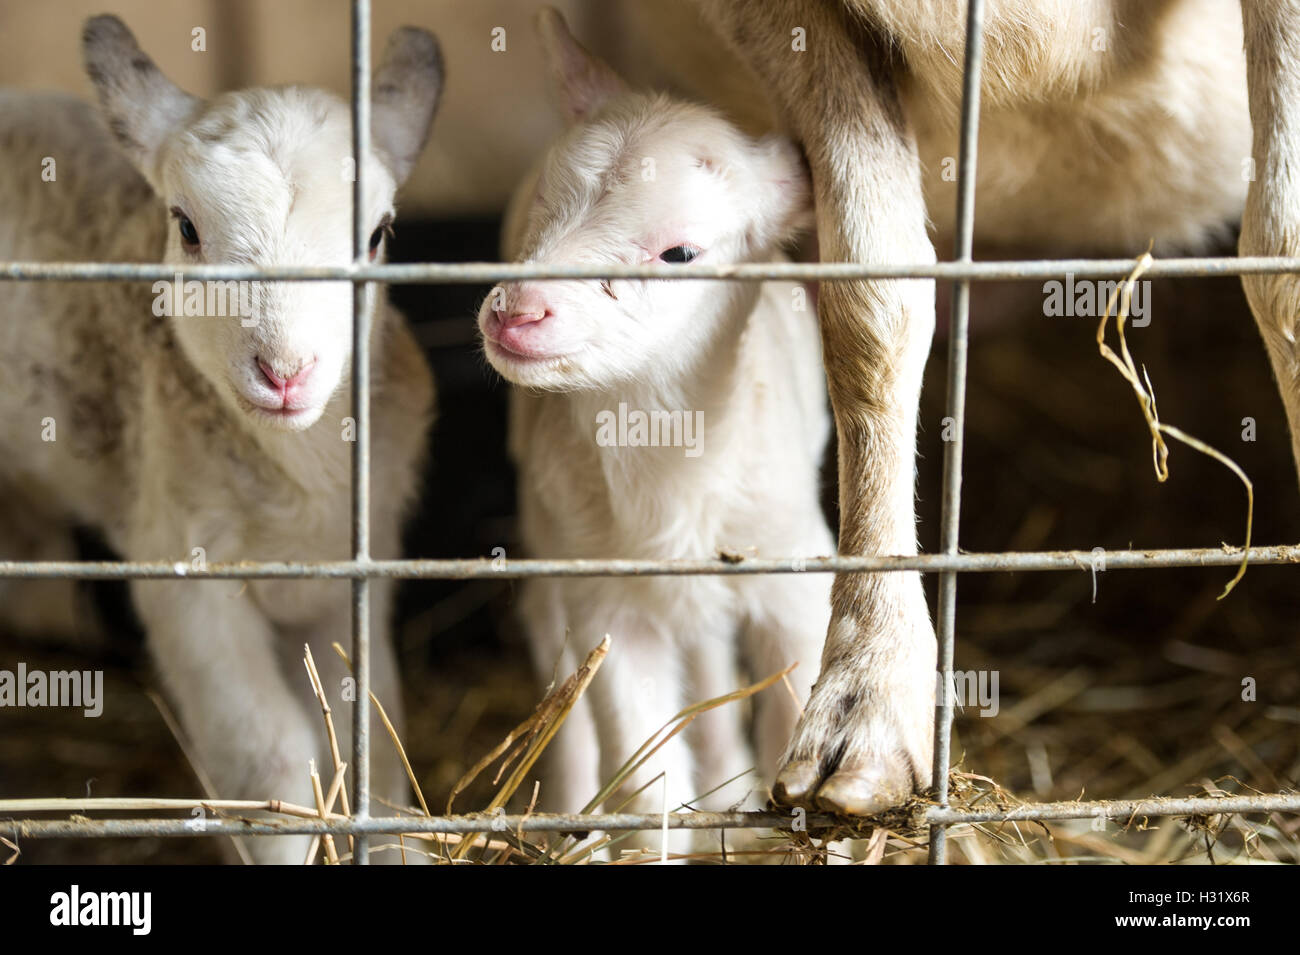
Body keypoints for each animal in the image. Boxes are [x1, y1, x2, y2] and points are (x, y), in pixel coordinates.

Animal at [0, 15, 441, 863]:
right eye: (186, 227)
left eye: (377, 234)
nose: (286, 371)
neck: (299, 488)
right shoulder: (184, 579)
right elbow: (273, 757)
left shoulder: (354, 575)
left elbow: (372, 738)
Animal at [477, 9, 833, 855]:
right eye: (544, 203)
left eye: (680, 252)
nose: (515, 312)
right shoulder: (603, 595)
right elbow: (640, 762)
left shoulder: (794, 567)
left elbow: (792, 719)